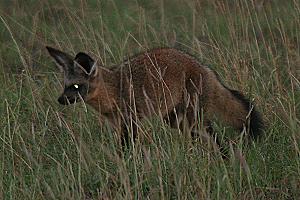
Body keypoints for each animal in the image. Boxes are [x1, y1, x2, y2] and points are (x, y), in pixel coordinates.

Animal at [45, 45, 264, 148]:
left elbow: (126, 149)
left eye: (76, 86)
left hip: (193, 119)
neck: (114, 88)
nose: (60, 100)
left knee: (215, 139)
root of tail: (206, 68)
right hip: (176, 120)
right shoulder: (119, 124)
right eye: (65, 87)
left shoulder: (131, 122)